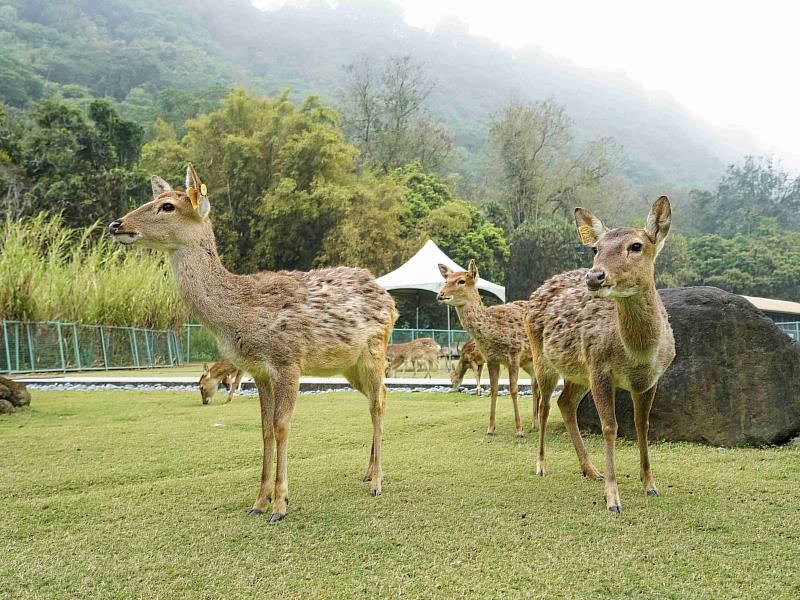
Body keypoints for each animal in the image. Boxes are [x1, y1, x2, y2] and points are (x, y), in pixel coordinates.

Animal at [109, 164, 396, 520]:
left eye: (167, 206)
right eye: (153, 200)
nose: (117, 224)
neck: (238, 314)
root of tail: (389, 298)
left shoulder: (288, 360)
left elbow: (281, 426)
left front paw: (280, 504)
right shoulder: (259, 371)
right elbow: (264, 429)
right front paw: (259, 502)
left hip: (374, 350)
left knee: (378, 401)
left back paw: (377, 482)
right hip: (348, 365)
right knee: (376, 396)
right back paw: (367, 472)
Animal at [438, 262, 536, 436]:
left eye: (461, 281)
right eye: (446, 280)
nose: (440, 294)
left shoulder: (514, 354)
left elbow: (513, 389)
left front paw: (519, 430)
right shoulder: (491, 359)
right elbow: (493, 388)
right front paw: (490, 428)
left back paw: (535, 423)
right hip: (528, 362)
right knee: (534, 382)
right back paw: (533, 422)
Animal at [524, 196, 676, 510]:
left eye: (636, 246)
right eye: (595, 248)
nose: (594, 276)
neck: (637, 355)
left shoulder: (651, 380)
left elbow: (642, 425)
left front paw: (650, 485)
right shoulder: (600, 369)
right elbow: (609, 427)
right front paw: (613, 498)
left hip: (578, 374)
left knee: (565, 403)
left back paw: (590, 469)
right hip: (542, 359)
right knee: (544, 405)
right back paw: (541, 465)